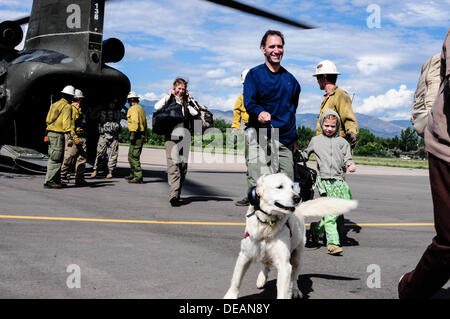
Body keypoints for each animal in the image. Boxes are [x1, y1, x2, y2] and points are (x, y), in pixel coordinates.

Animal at [225, 172, 358, 300]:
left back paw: (295, 291)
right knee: (265, 265)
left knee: (294, 278)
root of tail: (300, 209)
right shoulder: (244, 256)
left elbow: (284, 290)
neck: (267, 224)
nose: (297, 198)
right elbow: (236, 280)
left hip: (297, 257)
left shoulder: (284, 265)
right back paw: (261, 279)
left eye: (292, 187)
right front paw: (230, 296)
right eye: (279, 187)